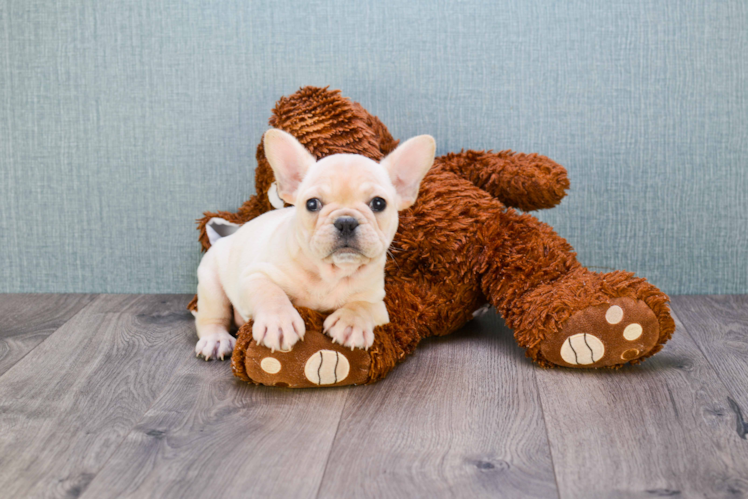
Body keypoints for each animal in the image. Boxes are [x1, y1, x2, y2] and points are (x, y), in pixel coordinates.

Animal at [194, 129, 438, 360]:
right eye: (312, 204)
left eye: (379, 203)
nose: (346, 221)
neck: (330, 273)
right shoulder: (254, 276)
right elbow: (270, 293)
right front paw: (279, 322)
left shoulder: (378, 303)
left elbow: (362, 305)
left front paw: (351, 323)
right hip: (210, 284)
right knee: (212, 317)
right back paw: (215, 340)